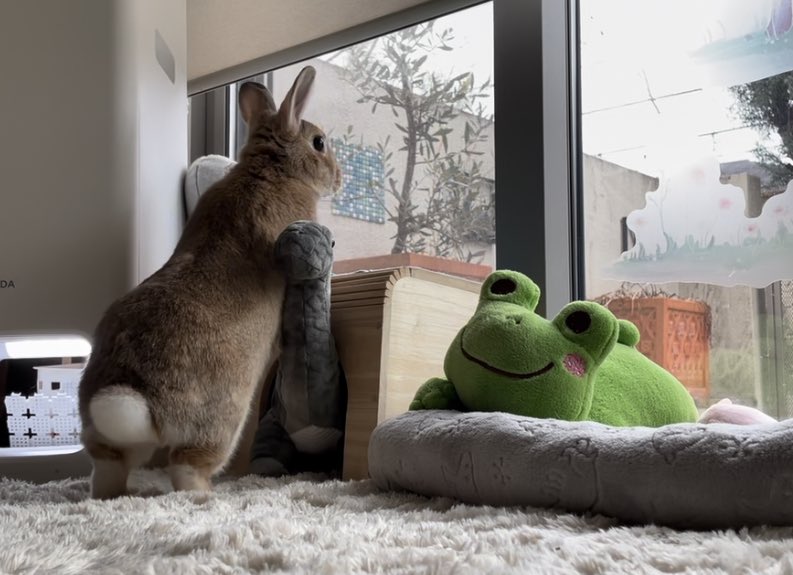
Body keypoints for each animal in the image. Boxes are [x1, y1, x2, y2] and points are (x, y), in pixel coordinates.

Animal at [78, 65, 341, 499]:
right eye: (318, 142)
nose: (338, 178)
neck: (273, 168)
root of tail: (139, 396)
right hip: (222, 424)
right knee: (187, 468)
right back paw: (207, 495)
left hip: (112, 436)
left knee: (110, 465)